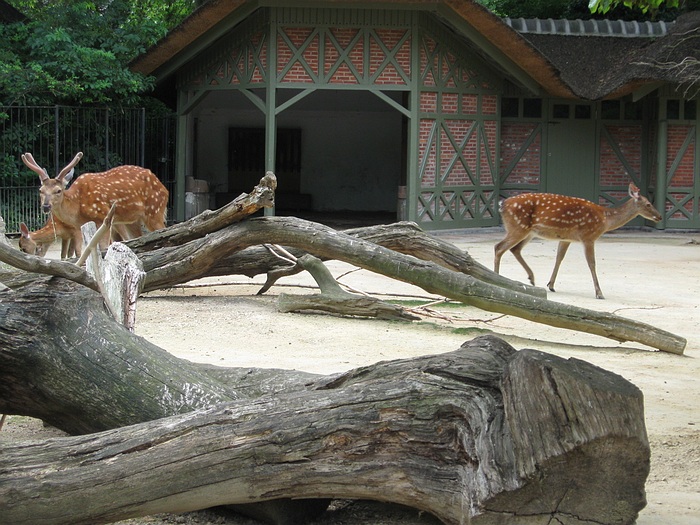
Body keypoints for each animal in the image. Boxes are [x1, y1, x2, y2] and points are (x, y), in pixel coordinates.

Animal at [21, 152, 168, 257]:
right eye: (40, 190)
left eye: (58, 190)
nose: (46, 206)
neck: (78, 207)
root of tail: (165, 189)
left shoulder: (103, 216)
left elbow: (102, 249)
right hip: (132, 220)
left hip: (155, 210)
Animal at [494, 182, 662, 299]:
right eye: (648, 204)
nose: (659, 216)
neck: (605, 220)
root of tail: (502, 205)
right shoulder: (588, 236)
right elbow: (592, 263)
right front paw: (599, 293)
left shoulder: (566, 238)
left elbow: (559, 257)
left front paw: (551, 285)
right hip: (518, 227)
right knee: (499, 247)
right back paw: (497, 277)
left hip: (528, 231)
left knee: (514, 249)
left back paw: (531, 278)